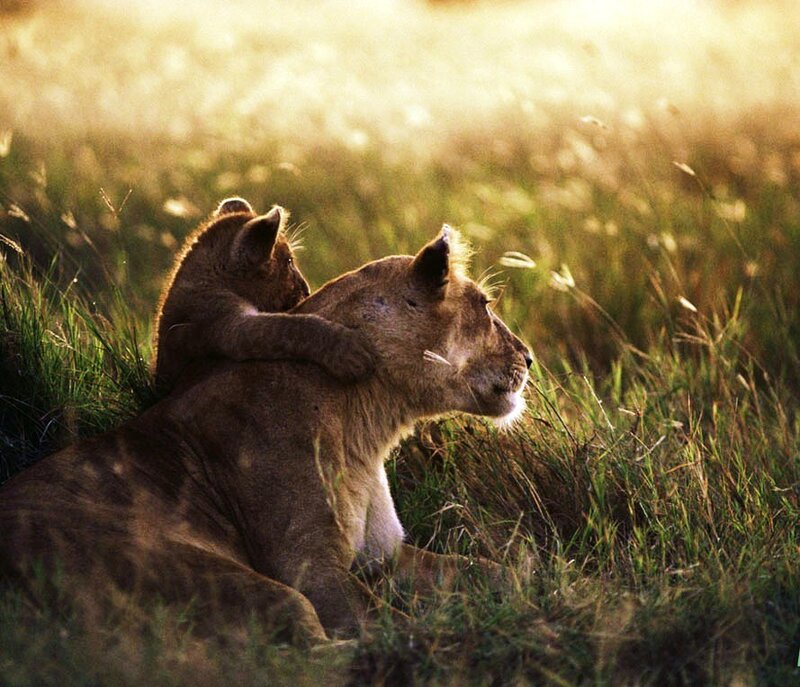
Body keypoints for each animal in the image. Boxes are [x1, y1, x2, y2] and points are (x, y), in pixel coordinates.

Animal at [0, 225, 532, 644]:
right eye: (485, 305)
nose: (528, 358)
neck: (368, 424)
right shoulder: (310, 566)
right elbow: (393, 625)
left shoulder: (387, 555)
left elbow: (493, 571)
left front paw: (538, 580)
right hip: (222, 578)